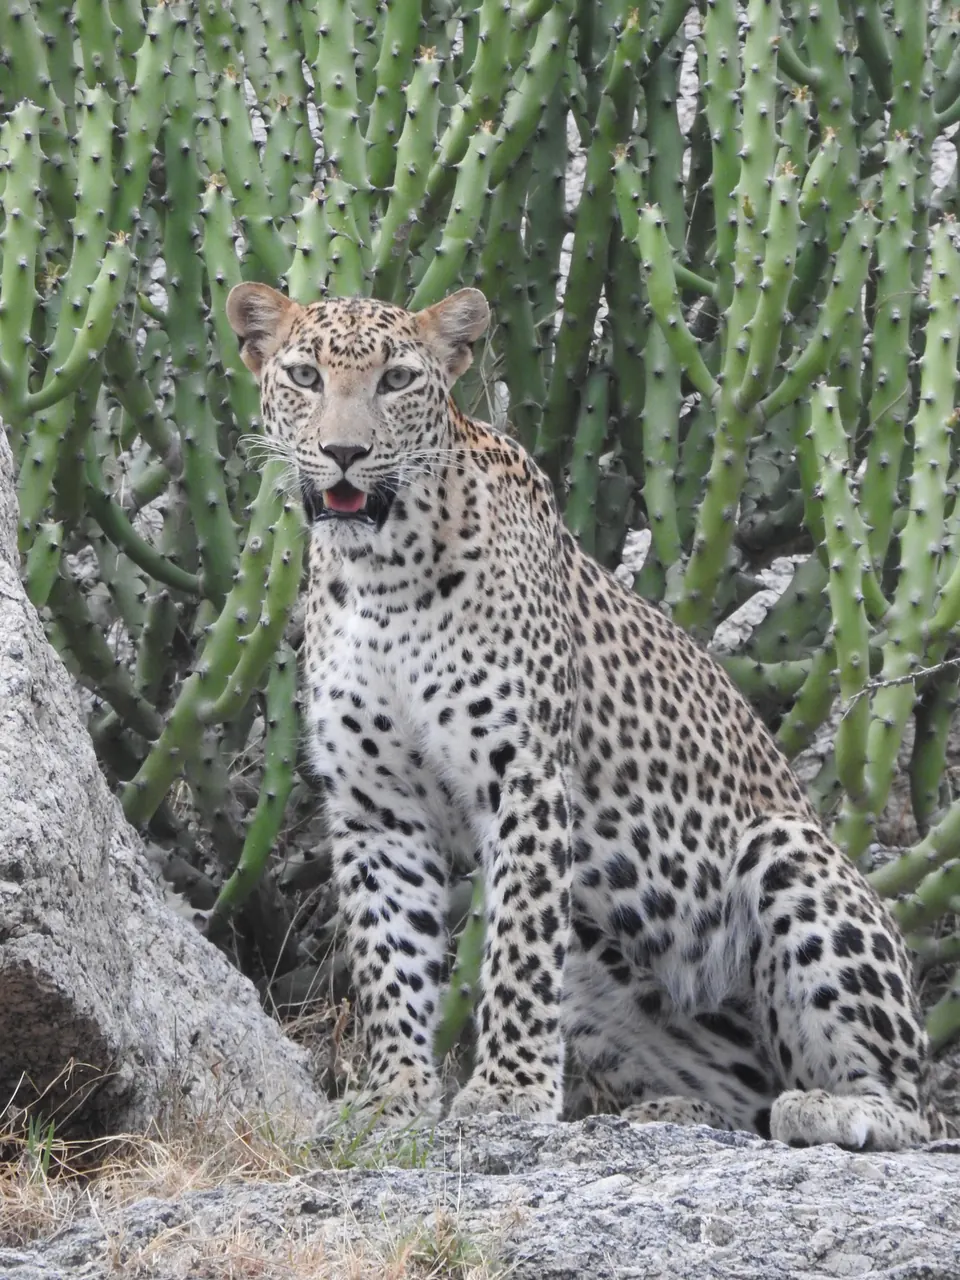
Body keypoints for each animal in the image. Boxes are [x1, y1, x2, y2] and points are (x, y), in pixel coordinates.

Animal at [226, 281, 945, 1151]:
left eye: (396, 381)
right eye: (304, 376)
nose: (344, 453)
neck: (380, 574)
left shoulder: (524, 774)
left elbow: (518, 944)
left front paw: (507, 1094)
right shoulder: (375, 805)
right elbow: (387, 954)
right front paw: (392, 1098)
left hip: (788, 854)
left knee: (906, 1106)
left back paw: (833, 1109)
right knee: (744, 1103)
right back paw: (671, 1112)